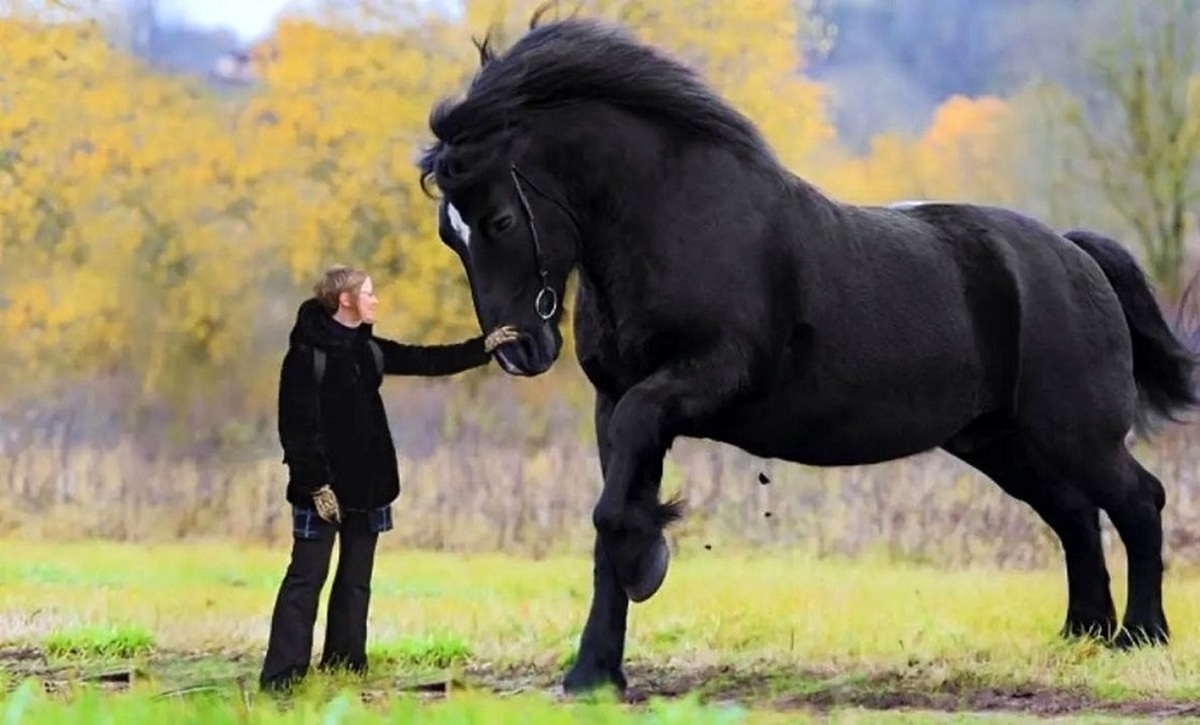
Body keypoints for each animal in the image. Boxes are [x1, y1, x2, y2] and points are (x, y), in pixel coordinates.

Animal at [415, 12, 1200, 691]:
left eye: (500, 219)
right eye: (450, 233)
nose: (519, 350)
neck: (674, 221)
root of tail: (1073, 253)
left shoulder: (701, 380)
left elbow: (615, 512)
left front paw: (648, 563)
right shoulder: (616, 403)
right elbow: (612, 510)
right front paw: (594, 671)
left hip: (1074, 431)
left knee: (1139, 500)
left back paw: (1139, 636)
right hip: (999, 441)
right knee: (1075, 514)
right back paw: (1082, 633)